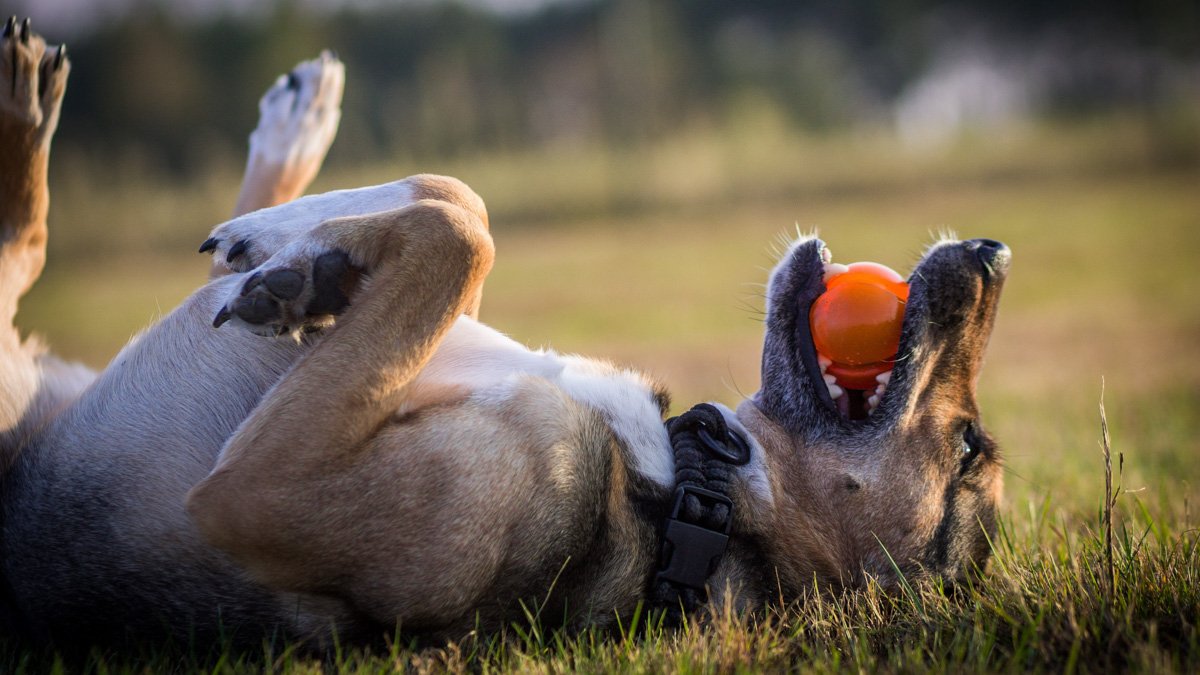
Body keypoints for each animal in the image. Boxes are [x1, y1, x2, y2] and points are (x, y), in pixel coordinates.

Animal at [0, 17, 1008, 648]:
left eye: (968, 450)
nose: (993, 251)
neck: (690, 493)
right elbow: (459, 205)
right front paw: (303, 258)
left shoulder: (255, 492)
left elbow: (461, 225)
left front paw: (297, 259)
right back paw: (291, 159)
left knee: (24, 247)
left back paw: (29, 110)